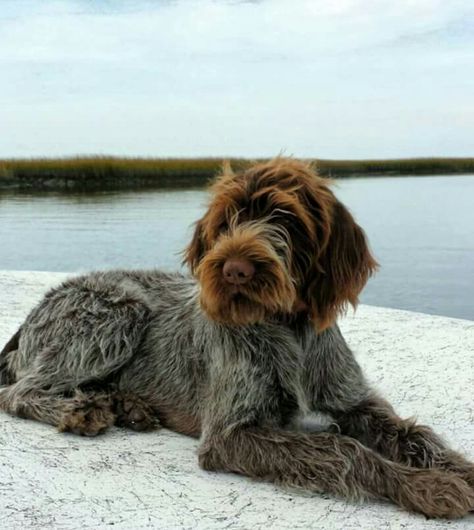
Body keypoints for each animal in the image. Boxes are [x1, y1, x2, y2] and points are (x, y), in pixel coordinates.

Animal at [0, 158, 474, 516]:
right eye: (226, 221)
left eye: (286, 218)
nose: (234, 270)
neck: (289, 330)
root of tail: (35, 310)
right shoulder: (230, 436)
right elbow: (343, 450)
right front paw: (426, 486)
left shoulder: (354, 402)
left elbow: (414, 433)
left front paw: (457, 468)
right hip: (119, 311)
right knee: (20, 392)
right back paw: (81, 410)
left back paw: (127, 406)